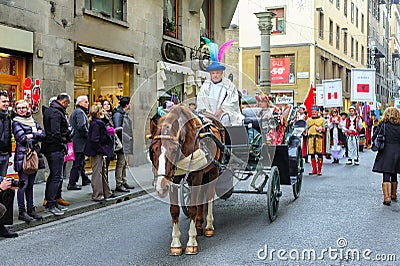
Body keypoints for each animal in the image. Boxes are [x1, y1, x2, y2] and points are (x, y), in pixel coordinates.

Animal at [148, 104, 225, 256]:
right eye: (153, 150)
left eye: (173, 150)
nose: (160, 187)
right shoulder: (172, 180)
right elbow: (174, 210)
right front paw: (176, 244)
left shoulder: (196, 176)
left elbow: (192, 209)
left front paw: (191, 242)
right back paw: (199, 225)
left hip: (212, 171)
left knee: (209, 197)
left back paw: (208, 227)